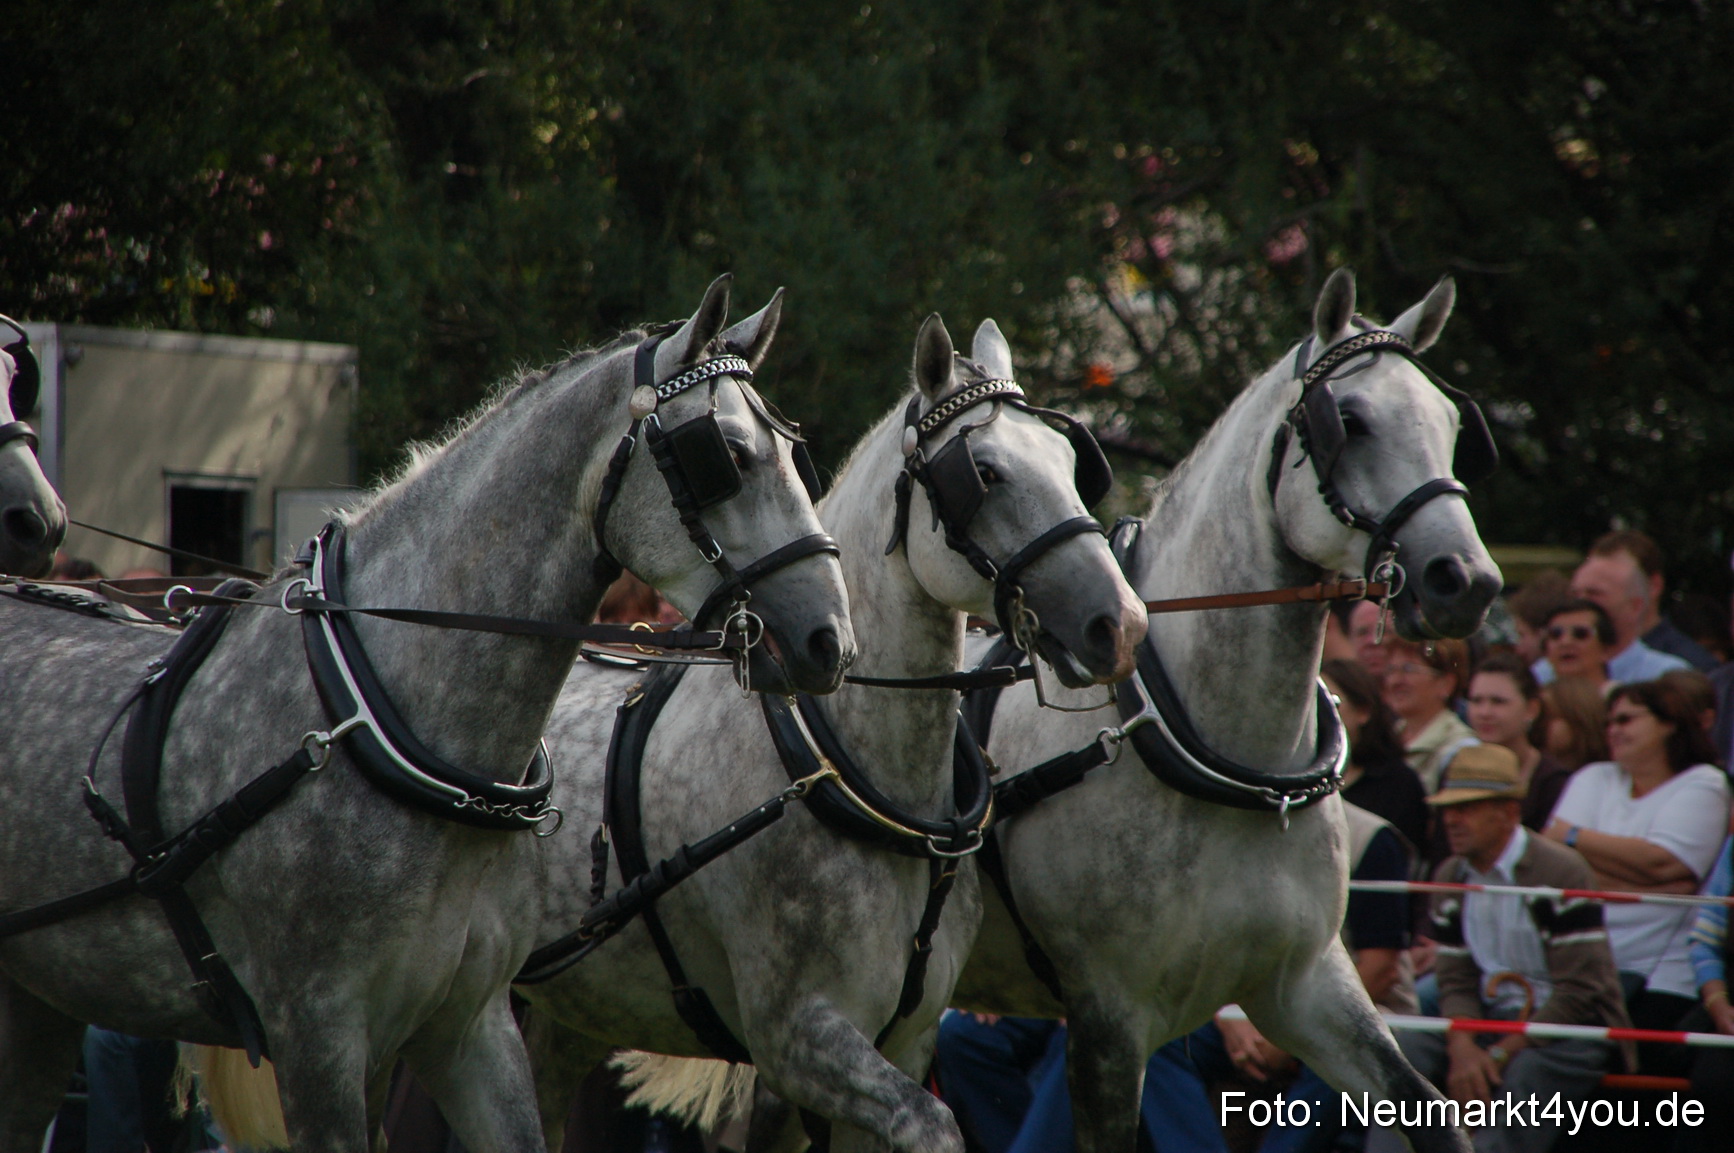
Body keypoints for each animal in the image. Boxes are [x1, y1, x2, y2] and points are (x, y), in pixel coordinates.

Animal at [513, 314, 1146, 1153]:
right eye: (983, 472)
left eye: (1074, 464)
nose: (1120, 624)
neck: (848, 766)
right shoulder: (798, 1040)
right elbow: (931, 1122)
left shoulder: (905, 1039)